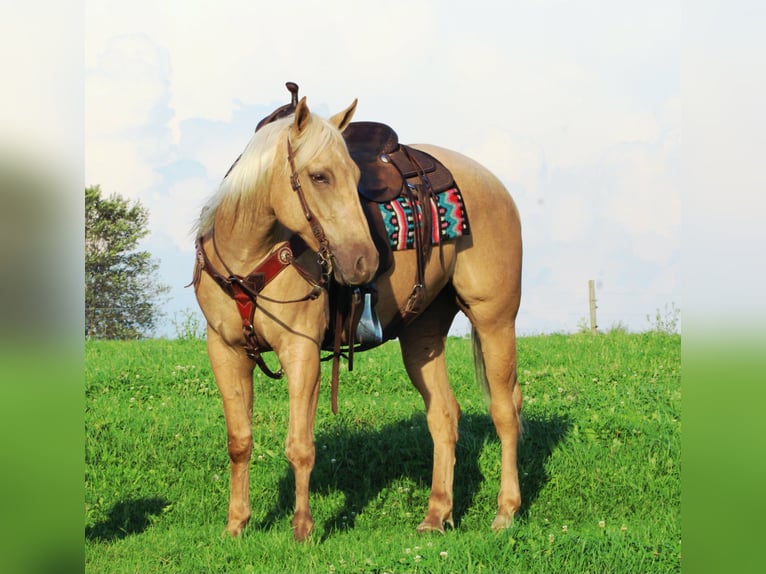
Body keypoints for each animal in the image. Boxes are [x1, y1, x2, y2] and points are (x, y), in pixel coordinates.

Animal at [192, 94, 523, 542]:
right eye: (319, 176)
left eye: (354, 175)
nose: (364, 260)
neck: (249, 256)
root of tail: (493, 183)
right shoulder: (225, 350)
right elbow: (239, 440)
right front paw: (236, 525)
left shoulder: (301, 350)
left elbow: (300, 444)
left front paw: (302, 528)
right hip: (422, 334)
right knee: (443, 415)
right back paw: (436, 515)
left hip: (495, 320)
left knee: (505, 410)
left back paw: (505, 512)